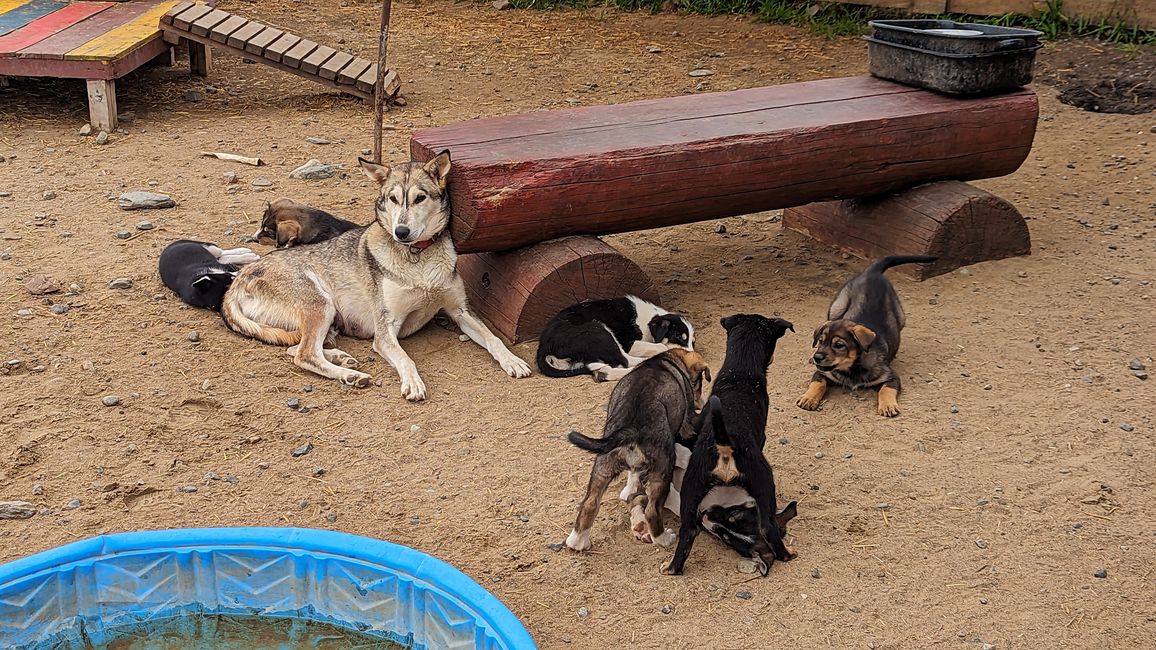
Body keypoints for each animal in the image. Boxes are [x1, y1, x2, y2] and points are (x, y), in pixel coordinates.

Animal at [218, 152, 534, 395]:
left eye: (420, 198)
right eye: (392, 199)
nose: (401, 232)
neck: (417, 257)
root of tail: (239, 279)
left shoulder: (461, 311)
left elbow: (493, 338)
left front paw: (512, 361)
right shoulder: (385, 331)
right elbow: (406, 358)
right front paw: (412, 383)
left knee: (295, 349)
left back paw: (342, 360)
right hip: (320, 304)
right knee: (304, 355)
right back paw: (350, 375)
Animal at [534, 293, 688, 379]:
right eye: (678, 337)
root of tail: (544, 346)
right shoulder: (628, 343)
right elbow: (661, 345)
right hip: (598, 331)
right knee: (626, 360)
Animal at [561, 346, 707, 548]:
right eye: (699, 384)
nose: (702, 403)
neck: (667, 360)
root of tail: (631, 426)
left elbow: (633, 474)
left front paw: (629, 488)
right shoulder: (685, 421)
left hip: (603, 465)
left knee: (589, 503)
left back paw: (577, 541)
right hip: (662, 470)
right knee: (652, 511)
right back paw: (664, 538)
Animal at [665, 312, 799, 573]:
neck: (739, 372)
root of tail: (724, 442)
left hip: (691, 486)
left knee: (688, 531)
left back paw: (673, 567)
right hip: (764, 481)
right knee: (768, 527)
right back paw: (787, 555)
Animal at [795, 253, 938, 414]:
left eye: (839, 345)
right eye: (820, 341)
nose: (817, 357)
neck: (851, 370)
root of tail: (872, 272)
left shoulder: (892, 377)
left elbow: (886, 389)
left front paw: (888, 405)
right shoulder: (822, 373)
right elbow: (817, 384)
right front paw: (808, 398)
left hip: (901, 317)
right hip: (837, 307)